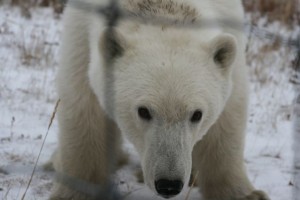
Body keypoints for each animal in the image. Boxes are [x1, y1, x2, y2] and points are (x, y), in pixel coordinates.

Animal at [50, 0, 270, 200]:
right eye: (143, 111)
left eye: (197, 114)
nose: (169, 184)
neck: (162, 8)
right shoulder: (81, 32)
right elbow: (84, 110)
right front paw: (76, 192)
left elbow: (227, 120)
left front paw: (248, 195)